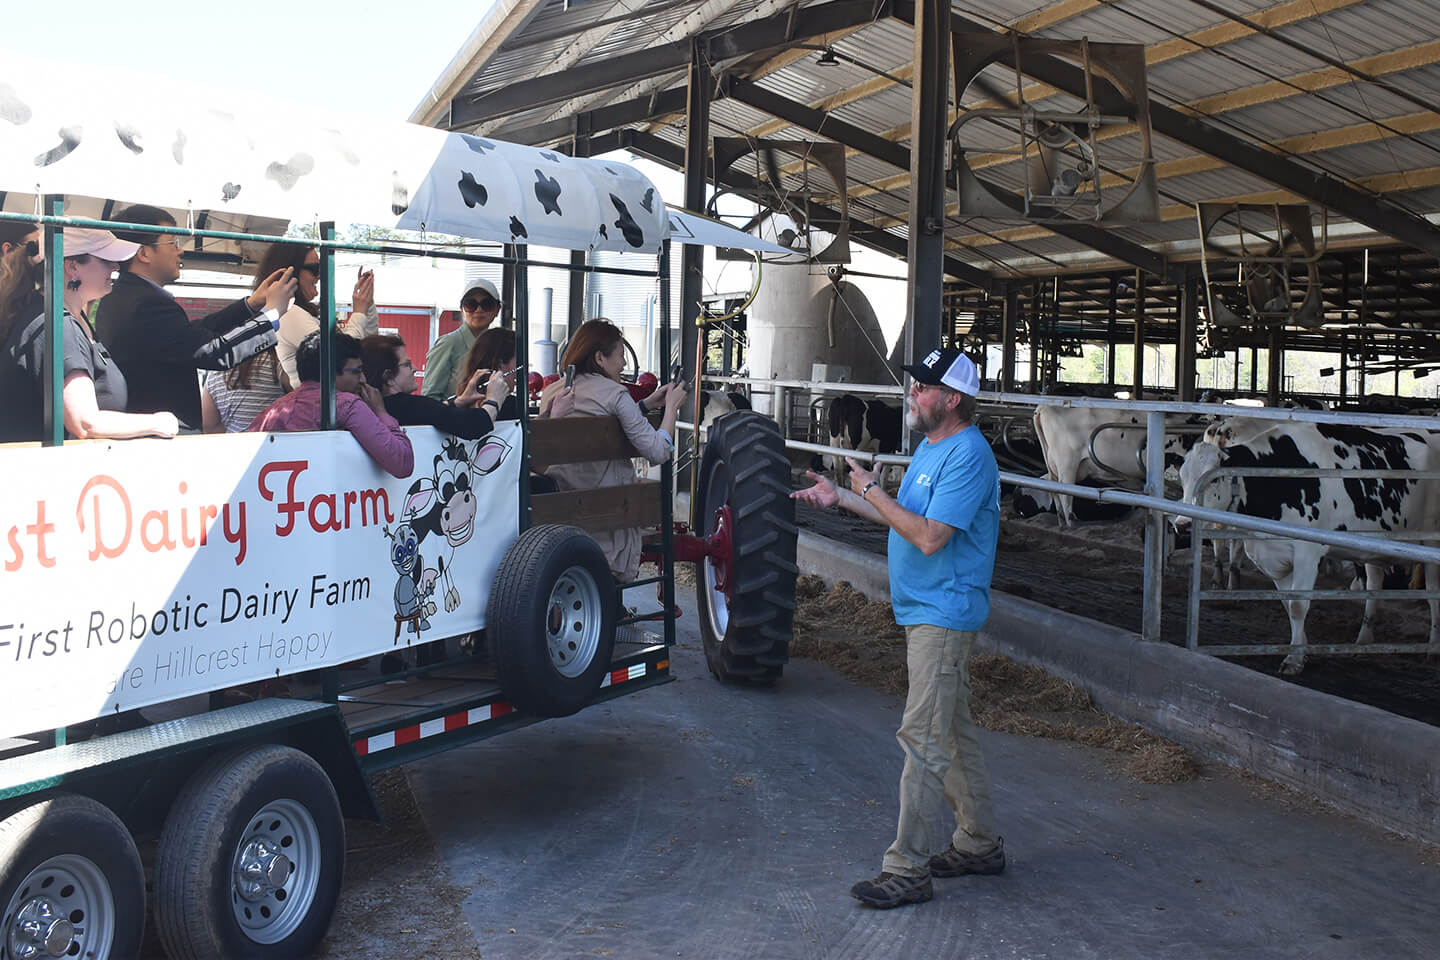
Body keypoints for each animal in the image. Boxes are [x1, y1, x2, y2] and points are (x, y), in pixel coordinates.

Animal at [1180, 420, 1440, 676]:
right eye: (1183, 476)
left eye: (1213, 479)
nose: (1182, 524)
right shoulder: (1274, 556)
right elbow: (1288, 603)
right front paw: (1302, 650)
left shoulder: (1307, 552)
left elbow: (1297, 605)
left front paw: (1294, 659)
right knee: (1374, 586)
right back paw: (1363, 641)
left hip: (1431, 540)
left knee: (1433, 593)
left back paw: (1432, 649)